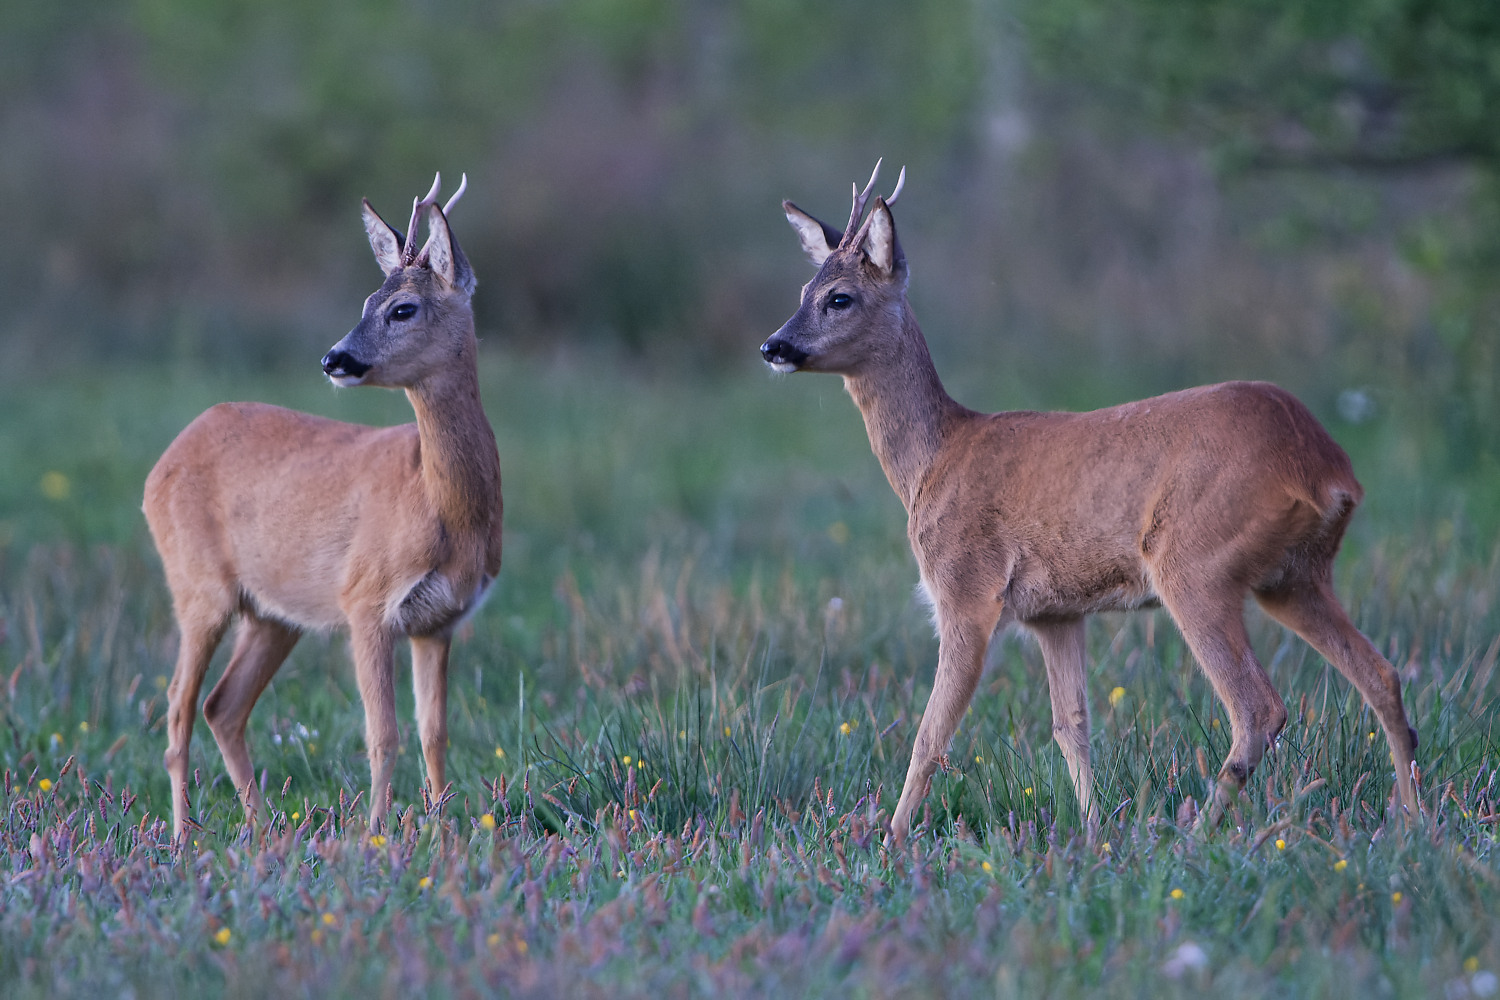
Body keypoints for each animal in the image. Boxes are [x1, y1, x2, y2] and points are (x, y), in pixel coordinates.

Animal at [144, 173, 504, 845]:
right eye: (365, 300)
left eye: (401, 308)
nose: (334, 358)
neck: (442, 508)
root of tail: (164, 460)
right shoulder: (365, 601)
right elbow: (382, 735)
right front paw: (377, 836)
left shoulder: (440, 620)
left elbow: (435, 733)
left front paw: (443, 835)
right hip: (198, 586)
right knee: (178, 707)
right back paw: (183, 837)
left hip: (272, 614)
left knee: (222, 705)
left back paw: (264, 831)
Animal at [762, 162, 1416, 845]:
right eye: (804, 288)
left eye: (840, 297)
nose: (773, 345)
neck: (933, 460)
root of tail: (1325, 468)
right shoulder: (1057, 612)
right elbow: (1071, 726)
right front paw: (1093, 829)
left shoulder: (966, 590)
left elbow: (929, 736)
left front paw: (889, 843)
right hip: (1295, 576)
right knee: (1382, 675)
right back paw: (1414, 818)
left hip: (1196, 563)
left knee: (1259, 707)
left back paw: (1194, 836)